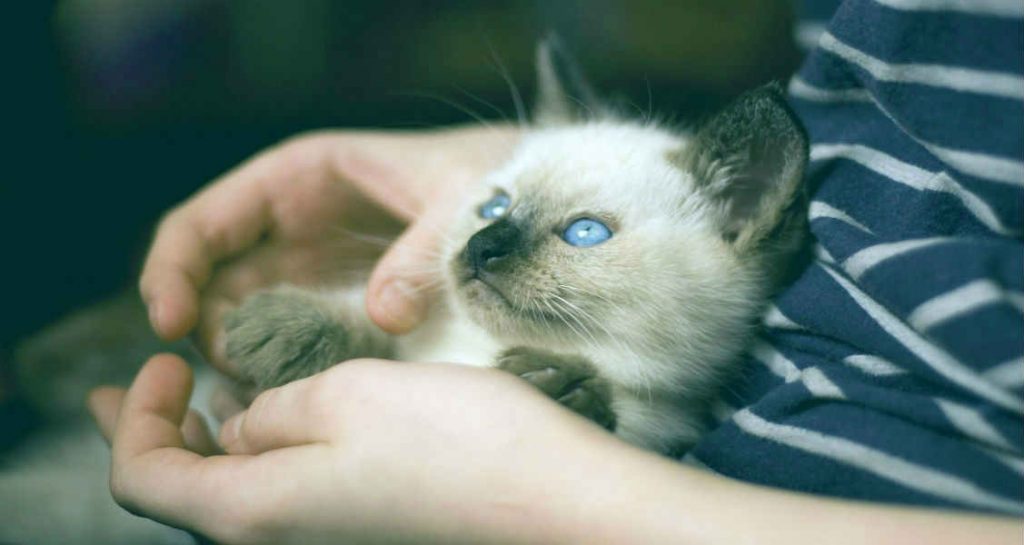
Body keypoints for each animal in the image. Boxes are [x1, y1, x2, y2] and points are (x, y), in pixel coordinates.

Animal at [224, 40, 806, 452]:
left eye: (585, 233)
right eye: (496, 208)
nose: (482, 247)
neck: (475, 352)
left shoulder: (657, 429)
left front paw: (559, 388)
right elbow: (372, 326)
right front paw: (282, 328)